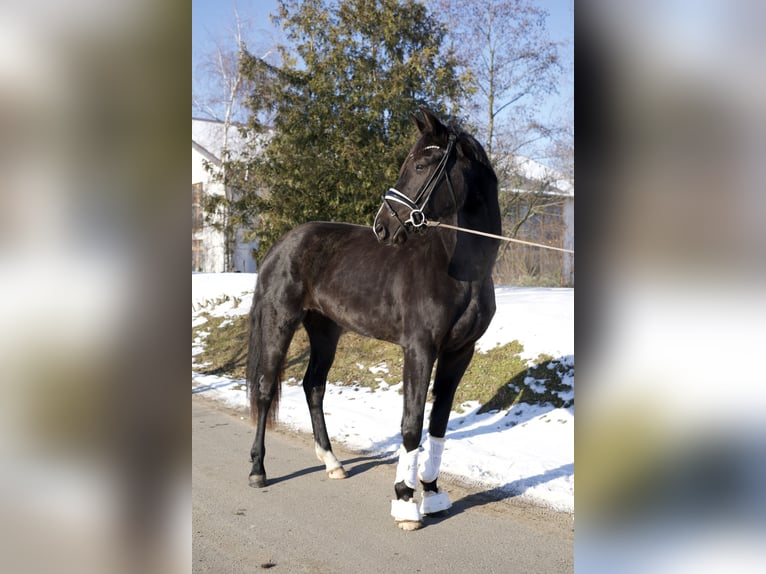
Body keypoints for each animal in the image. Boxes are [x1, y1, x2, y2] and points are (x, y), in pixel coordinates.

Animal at [246, 108, 498, 532]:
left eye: (421, 165)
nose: (383, 226)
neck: (459, 270)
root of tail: (282, 244)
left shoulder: (459, 353)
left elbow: (438, 424)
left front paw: (432, 493)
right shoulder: (419, 349)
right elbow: (411, 424)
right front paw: (405, 503)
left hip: (325, 330)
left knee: (313, 386)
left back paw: (332, 463)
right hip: (281, 321)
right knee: (266, 389)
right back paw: (258, 471)